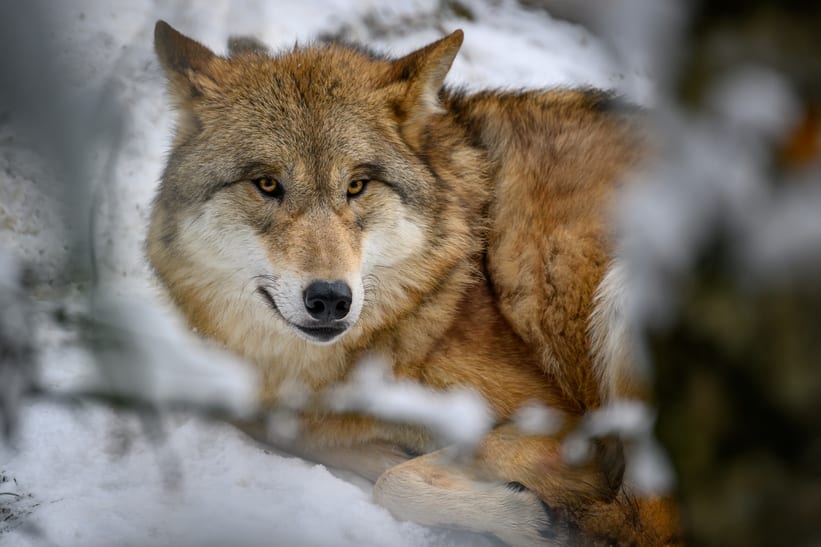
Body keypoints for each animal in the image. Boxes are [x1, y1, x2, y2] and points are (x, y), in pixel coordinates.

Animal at [148, 20, 679, 546]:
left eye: (356, 186)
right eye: (267, 184)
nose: (330, 299)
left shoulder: (563, 423)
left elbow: (399, 479)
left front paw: (532, 514)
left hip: (625, 291)